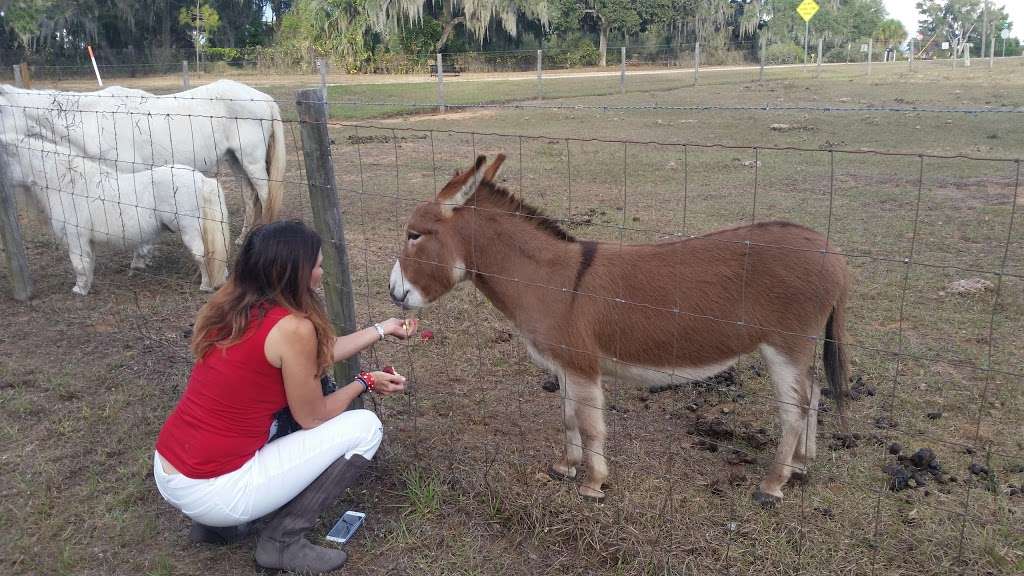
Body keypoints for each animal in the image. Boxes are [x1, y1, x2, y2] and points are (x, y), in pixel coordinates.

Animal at [0, 79, 284, 240]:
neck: (94, 121)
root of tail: (264, 98)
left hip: (251, 160)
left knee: (265, 193)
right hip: (235, 160)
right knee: (249, 195)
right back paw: (243, 237)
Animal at [6, 138, 230, 291]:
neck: (69, 185)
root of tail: (201, 179)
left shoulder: (75, 237)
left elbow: (79, 264)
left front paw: (79, 290)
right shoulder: (86, 241)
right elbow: (89, 262)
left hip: (189, 229)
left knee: (201, 254)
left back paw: (206, 285)